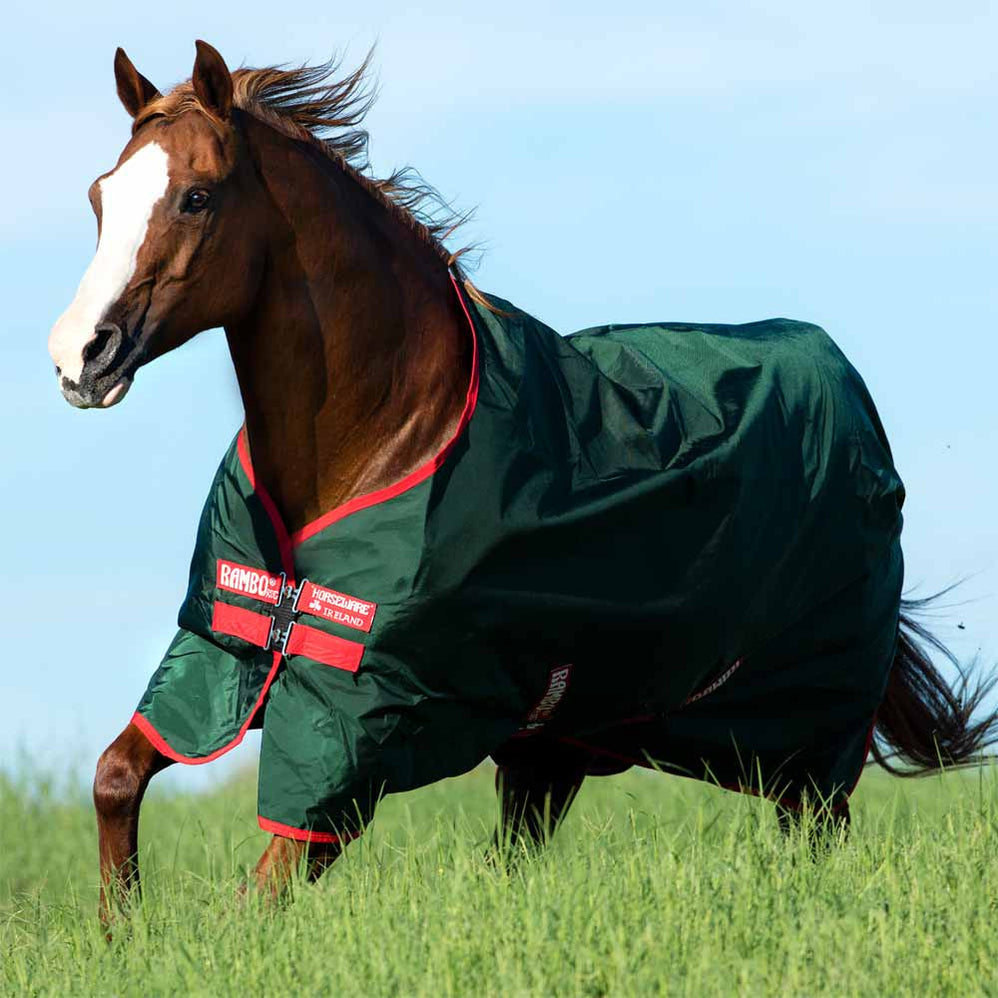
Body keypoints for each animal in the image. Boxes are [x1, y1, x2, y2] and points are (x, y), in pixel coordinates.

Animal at [48, 41, 998, 926]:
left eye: (196, 197)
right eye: (100, 196)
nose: (78, 356)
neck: (389, 428)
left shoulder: (364, 713)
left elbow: (267, 887)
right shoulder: (223, 645)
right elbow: (116, 775)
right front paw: (118, 935)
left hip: (806, 733)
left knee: (816, 832)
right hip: (557, 747)